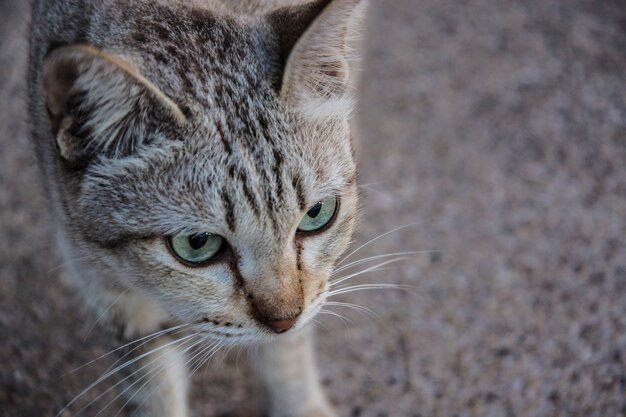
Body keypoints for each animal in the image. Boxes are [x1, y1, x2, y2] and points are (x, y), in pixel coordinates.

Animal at [26, 0, 364, 416]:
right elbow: (152, 384)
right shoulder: (106, 284)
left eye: (317, 214)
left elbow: (288, 354)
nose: (284, 320)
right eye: (197, 244)